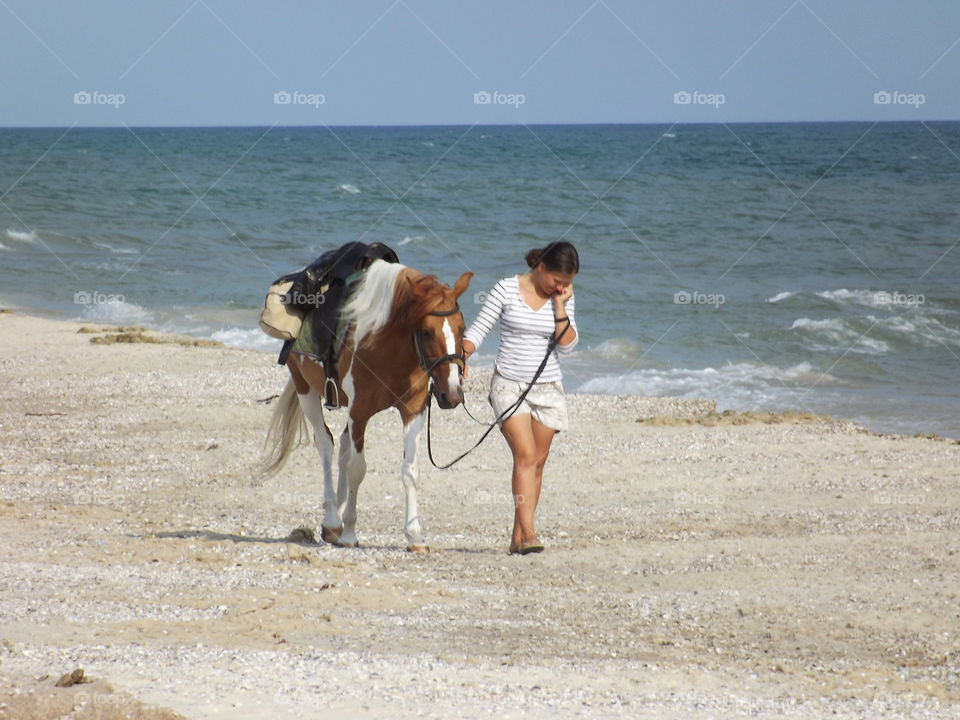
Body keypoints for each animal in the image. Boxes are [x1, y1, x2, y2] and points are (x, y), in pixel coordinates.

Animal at [262, 260, 472, 552]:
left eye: (461, 327)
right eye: (427, 332)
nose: (452, 394)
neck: (386, 347)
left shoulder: (413, 410)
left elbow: (410, 470)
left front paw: (415, 536)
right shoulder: (360, 412)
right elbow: (357, 468)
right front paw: (350, 531)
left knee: (342, 446)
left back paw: (333, 522)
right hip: (306, 390)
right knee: (326, 444)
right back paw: (333, 517)